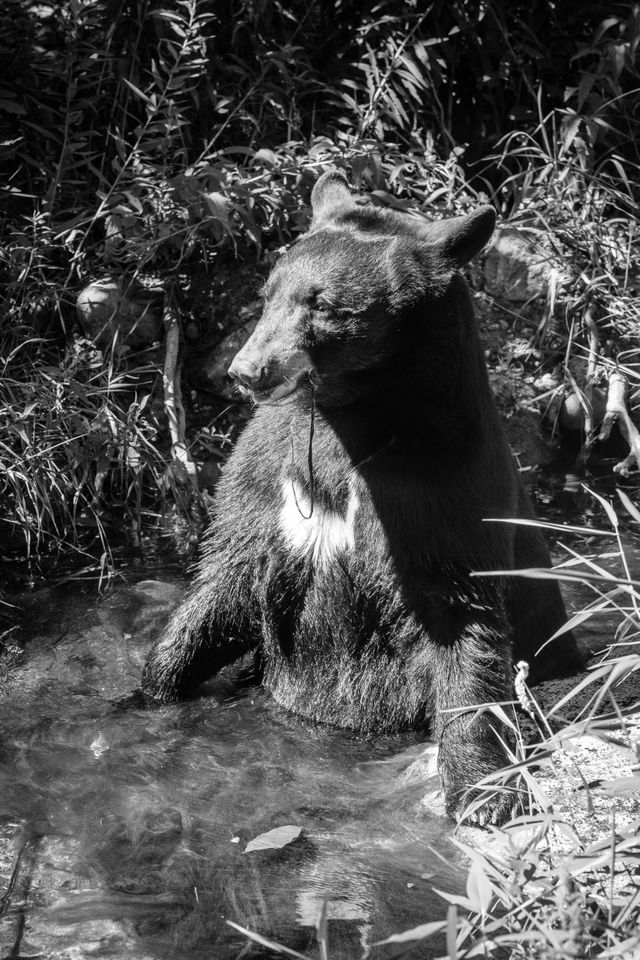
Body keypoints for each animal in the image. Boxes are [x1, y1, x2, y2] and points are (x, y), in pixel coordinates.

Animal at [144, 172, 584, 824]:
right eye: (269, 292)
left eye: (323, 305)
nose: (247, 370)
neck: (352, 421)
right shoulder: (268, 477)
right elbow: (225, 578)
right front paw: (148, 687)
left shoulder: (444, 488)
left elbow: (466, 629)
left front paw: (485, 789)